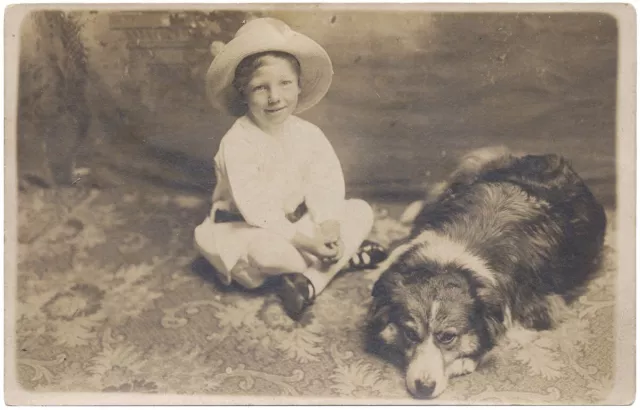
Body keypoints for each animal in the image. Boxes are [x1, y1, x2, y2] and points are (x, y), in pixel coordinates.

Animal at [364, 147, 604, 398]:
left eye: (448, 337)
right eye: (410, 334)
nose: (424, 389)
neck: (452, 260)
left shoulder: (544, 308)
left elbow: (502, 330)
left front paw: (465, 360)